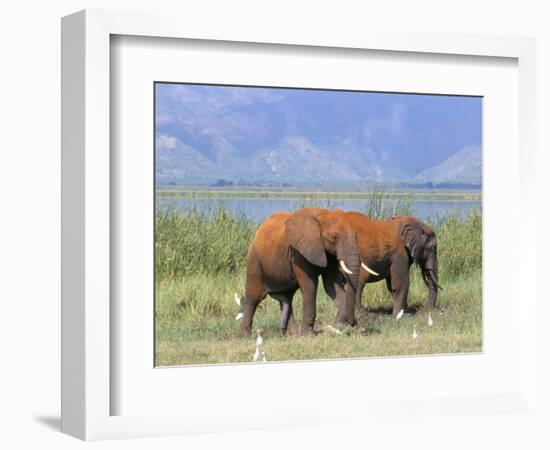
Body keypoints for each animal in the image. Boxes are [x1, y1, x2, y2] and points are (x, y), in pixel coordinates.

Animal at [239, 206, 382, 336]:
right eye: (334, 237)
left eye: (356, 236)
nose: (353, 323)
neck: (324, 215)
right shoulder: (298, 252)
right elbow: (310, 286)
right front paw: (308, 335)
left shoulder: (327, 252)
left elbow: (331, 285)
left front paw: (341, 326)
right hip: (254, 262)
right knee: (254, 298)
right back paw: (245, 336)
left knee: (286, 299)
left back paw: (292, 333)